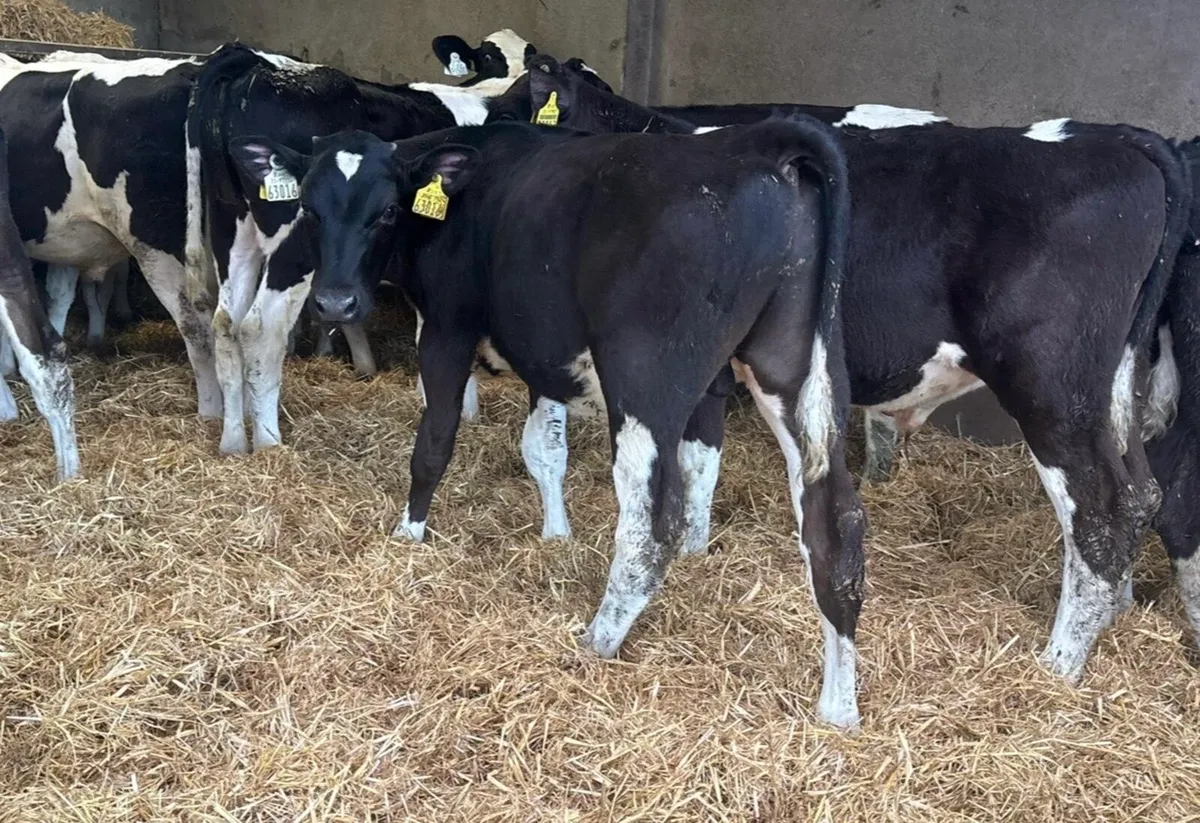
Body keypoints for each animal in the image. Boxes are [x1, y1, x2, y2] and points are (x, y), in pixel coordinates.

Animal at [225, 115, 862, 726]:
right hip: (795, 369)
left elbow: (435, 439)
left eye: (386, 210)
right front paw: (556, 533)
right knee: (834, 518)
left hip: (646, 376)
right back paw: (839, 705)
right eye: (310, 208)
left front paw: (409, 533)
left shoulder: (448, 328)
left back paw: (598, 639)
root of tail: (755, 143)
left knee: (652, 519)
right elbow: (544, 449)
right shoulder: (544, 354)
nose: (335, 303)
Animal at [520, 58, 1194, 689]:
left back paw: (1059, 664)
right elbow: (698, 465)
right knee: (1141, 493)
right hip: (1115, 385)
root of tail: (1118, 139)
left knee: (1107, 509)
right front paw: (696, 554)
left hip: (1053, 386)